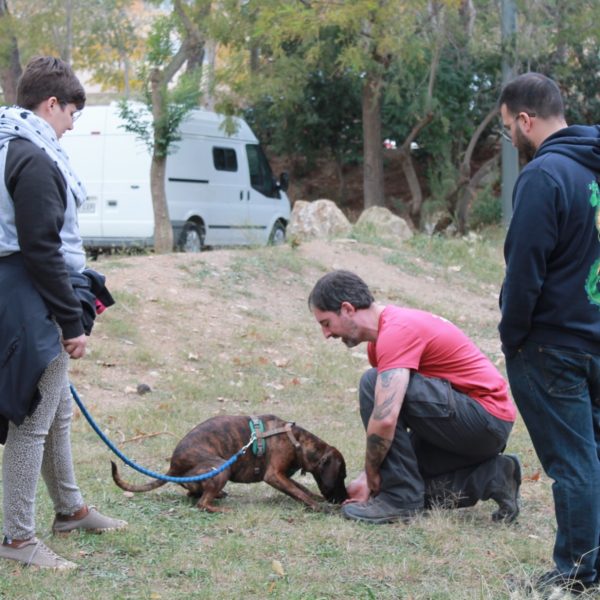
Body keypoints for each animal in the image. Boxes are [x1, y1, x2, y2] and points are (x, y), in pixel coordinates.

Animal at [110, 414, 350, 512]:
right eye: (342, 475)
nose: (344, 499)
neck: (297, 440)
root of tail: (173, 468)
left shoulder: (284, 476)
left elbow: (302, 489)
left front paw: (316, 498)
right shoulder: (274, 475)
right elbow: (299, 492)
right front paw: (319, 507)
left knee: (193, 494)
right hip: (220, 468)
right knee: (201, 504)